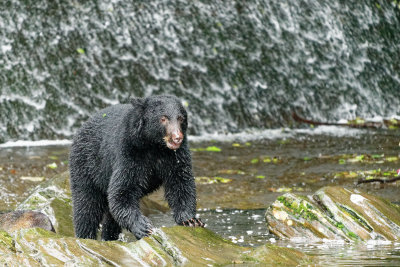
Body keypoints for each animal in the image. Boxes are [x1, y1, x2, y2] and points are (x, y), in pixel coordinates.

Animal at [68, 95, 203, 242]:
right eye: (163, 118)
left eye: (181, 118)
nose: (177, 138)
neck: (154, 145)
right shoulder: (129, 152)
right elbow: (122, 190)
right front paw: (143, 227)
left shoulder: (176, 156)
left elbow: (181, 182)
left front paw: (190, 220)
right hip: (86, 166)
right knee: (87, 206)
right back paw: (85, 236)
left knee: (109, 214)